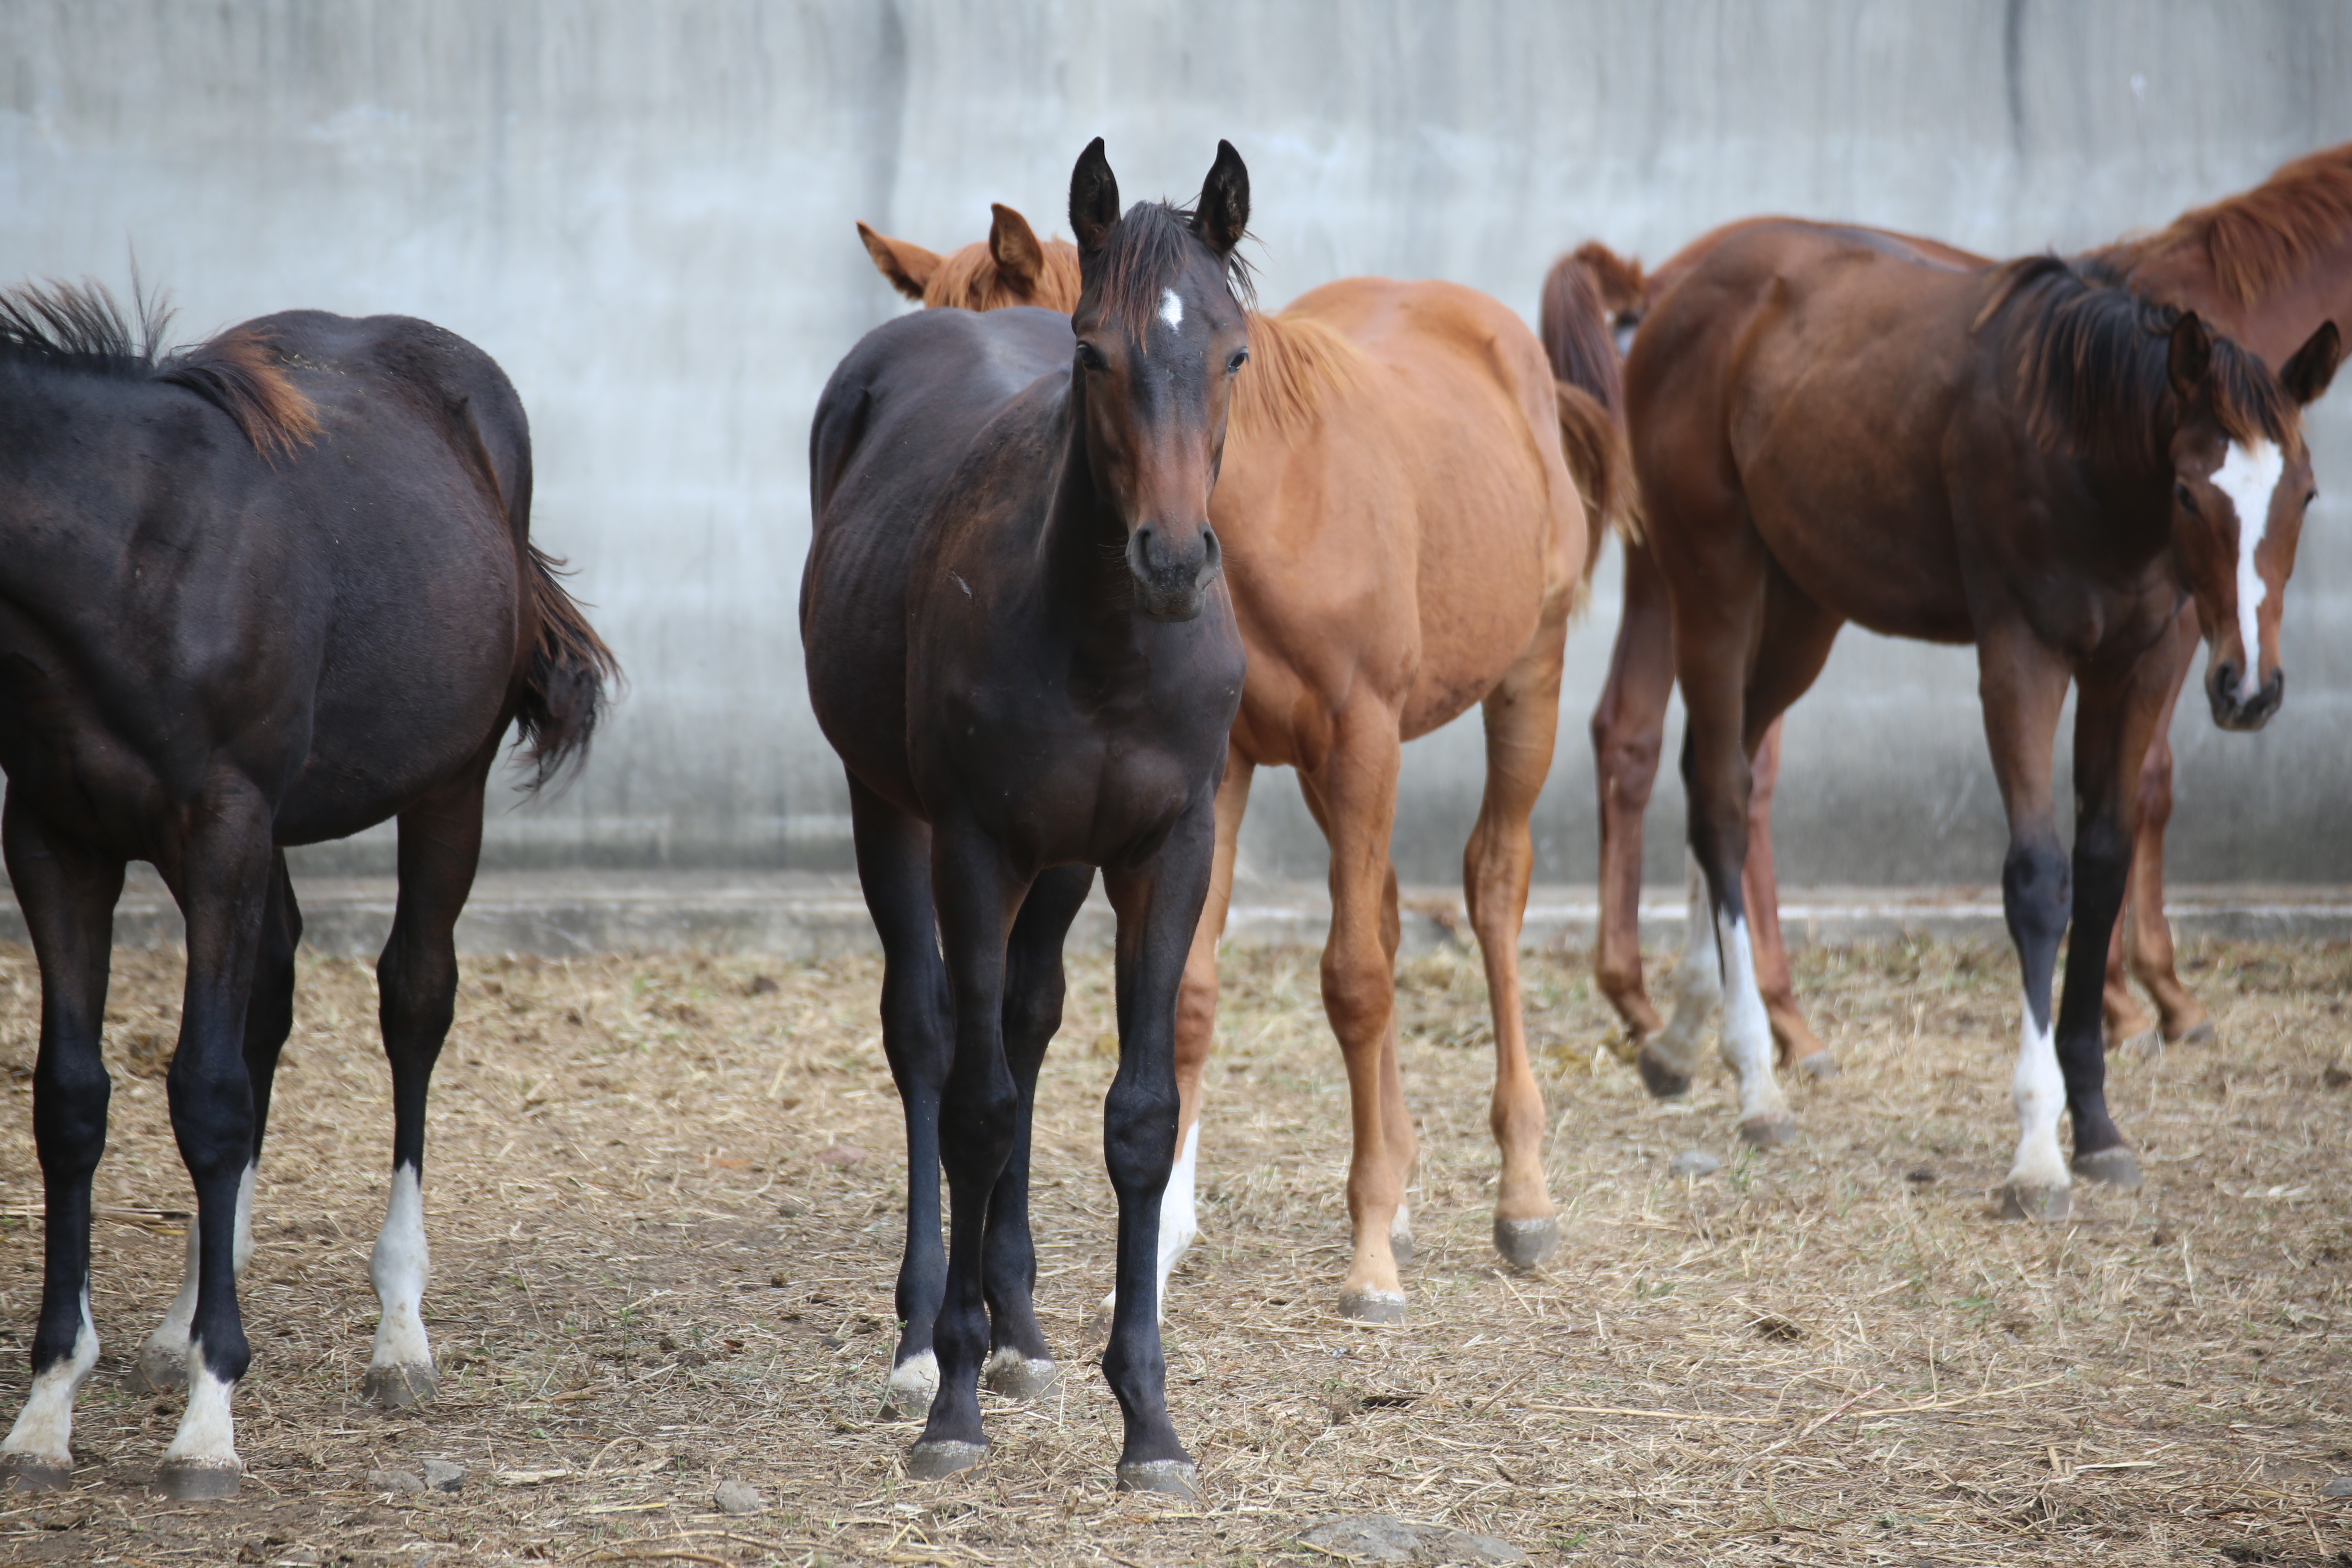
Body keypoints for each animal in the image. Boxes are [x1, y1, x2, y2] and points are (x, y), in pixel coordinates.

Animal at [0, 288, 616, 1504]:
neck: (124, 561)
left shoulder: (222, 827)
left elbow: (206, 1092)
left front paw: (208, 1425)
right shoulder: (53, 839)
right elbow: (73, 1101)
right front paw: (49, 1406)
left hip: (446, 786)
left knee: (414, 999)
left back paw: (398, 1333)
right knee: (272, 1000)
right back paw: (185, 1315)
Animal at [804, 138, 1261, 1495]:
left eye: (1234, 353)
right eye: (1094, 351)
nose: (1173, 557)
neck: (1104, 644)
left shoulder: (1165, 850)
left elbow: (1138, 1117)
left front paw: (1148, 1420)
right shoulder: (973, 843)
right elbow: (976, 1102)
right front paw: (952, 1403)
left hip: (1061, 868)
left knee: (1022, 1017)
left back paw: (1018, 1323)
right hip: (890, 812)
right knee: (931, 1036)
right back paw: (926, 1334)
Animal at [856, 205, 1608, 1326]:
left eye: (1043, 360)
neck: (1280, 508)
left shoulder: (1360, 738)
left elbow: (1352, 980)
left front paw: (1369, 1263)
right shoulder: (1223, 770)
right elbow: (1198, 991)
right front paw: (1164, 1239)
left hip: (1526, 679)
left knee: (1491, 891)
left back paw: (1520, 1198)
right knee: (1390, 910)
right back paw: (1403, 1179)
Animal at [1561, 141, 2352, 1067]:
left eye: (2307, 495)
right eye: (2189, 495)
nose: (2254, 692)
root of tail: (1657, 291)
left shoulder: (2147, 646)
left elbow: (2114, 825)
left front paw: (2117, 1010)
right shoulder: (2108, 639)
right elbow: (2123, 806)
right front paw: (2147, 1001)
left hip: (1752, 592)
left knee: (1656, 743)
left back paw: (1672, 1005)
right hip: (1715, 580)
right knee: (1728, 773)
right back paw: (1767, 1013)